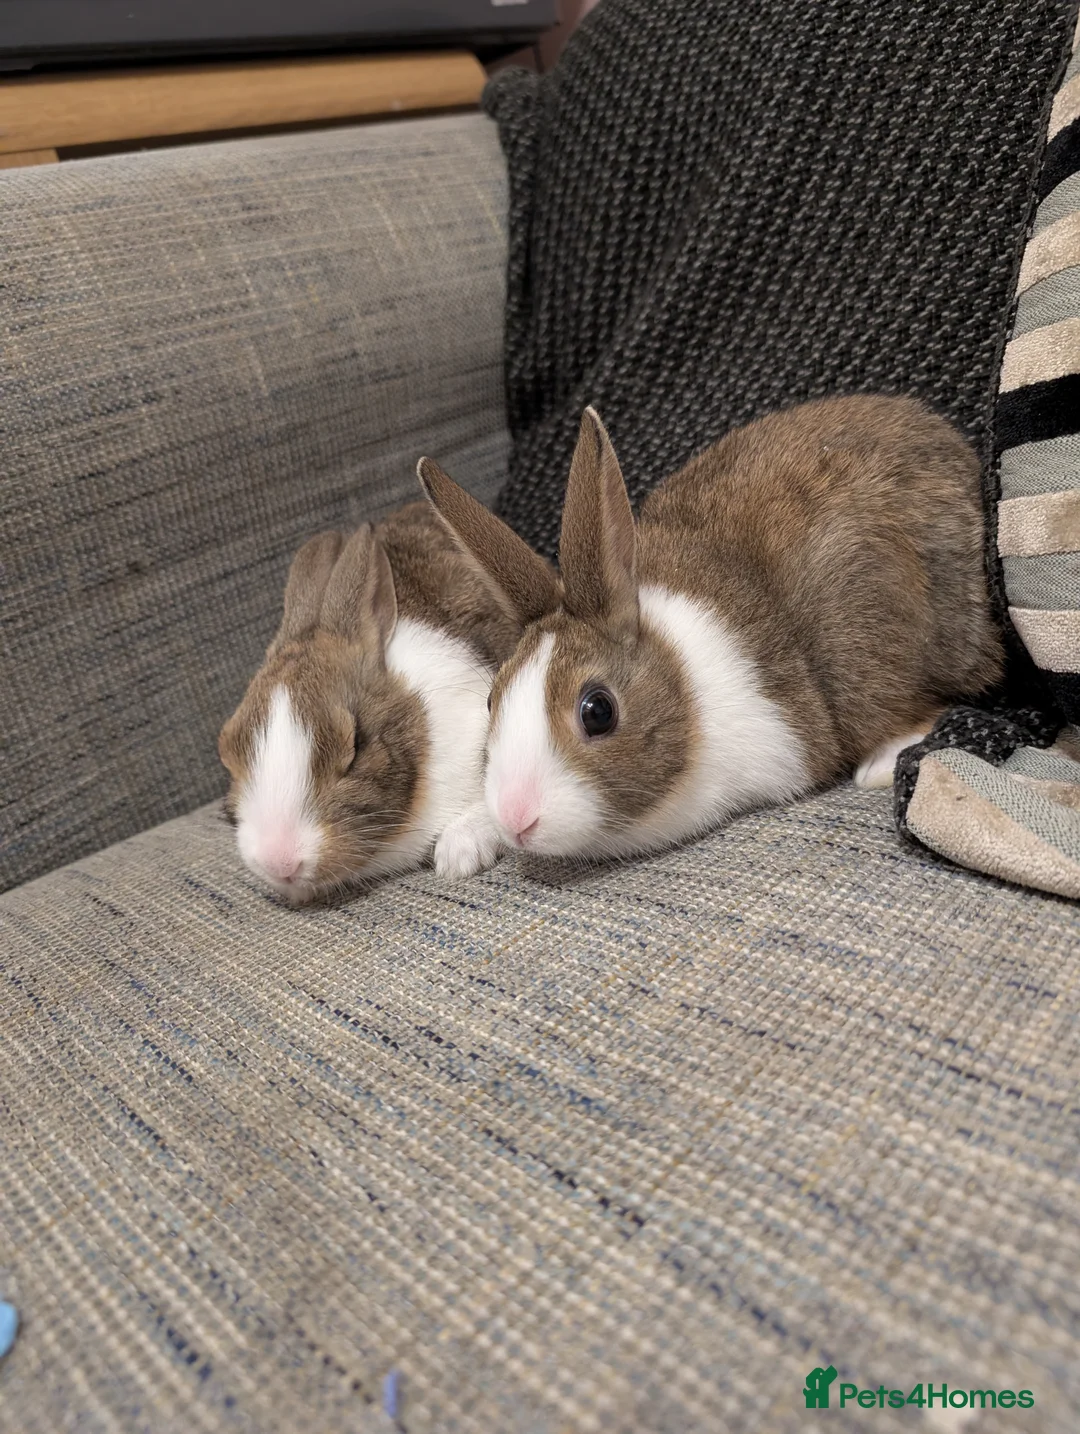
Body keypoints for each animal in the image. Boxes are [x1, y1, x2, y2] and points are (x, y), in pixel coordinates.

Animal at [417, 394, 1004, 863]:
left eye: (597, 711)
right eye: (491, 702)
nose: (518, 820)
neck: (682, 684)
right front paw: (460, 848)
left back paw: (879, 765)